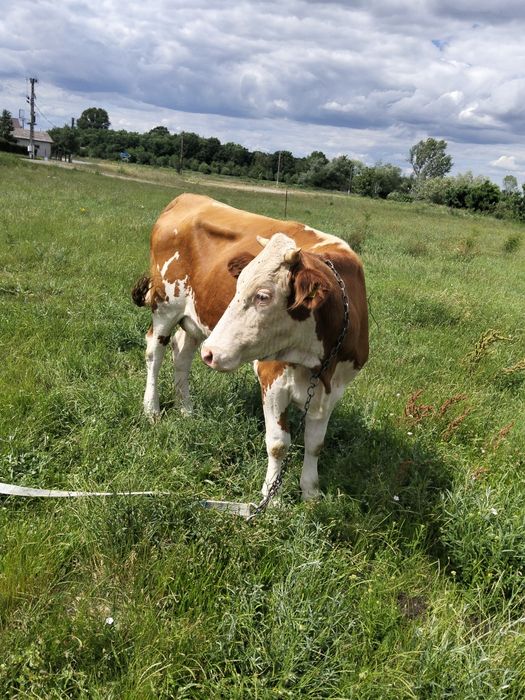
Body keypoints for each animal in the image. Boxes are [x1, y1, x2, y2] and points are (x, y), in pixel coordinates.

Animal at [132, 193, 368, 501]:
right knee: (154, 352)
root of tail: (187, 197)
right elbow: (278, 443)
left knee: (181, 354)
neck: (318, 362)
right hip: (165, 303)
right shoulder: (272, 378)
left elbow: (315, 444)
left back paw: (187, 410)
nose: (211, 352)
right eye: (238, 284)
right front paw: (272, 497)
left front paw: (310, 493)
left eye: (263, 296)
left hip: (195, 316)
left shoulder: (335, 388)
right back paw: (152, 409)